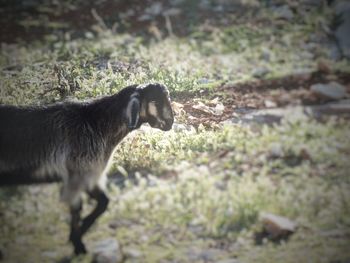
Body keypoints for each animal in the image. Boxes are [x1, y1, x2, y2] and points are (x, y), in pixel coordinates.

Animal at [0, 83, 174, 256]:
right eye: (154, 101)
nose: (170, 122)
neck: (96, 123)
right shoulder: (78, 175)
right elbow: (76, 210)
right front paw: (78, 245)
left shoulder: (89, 175)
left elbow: (103, 203)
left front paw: (78, 236)